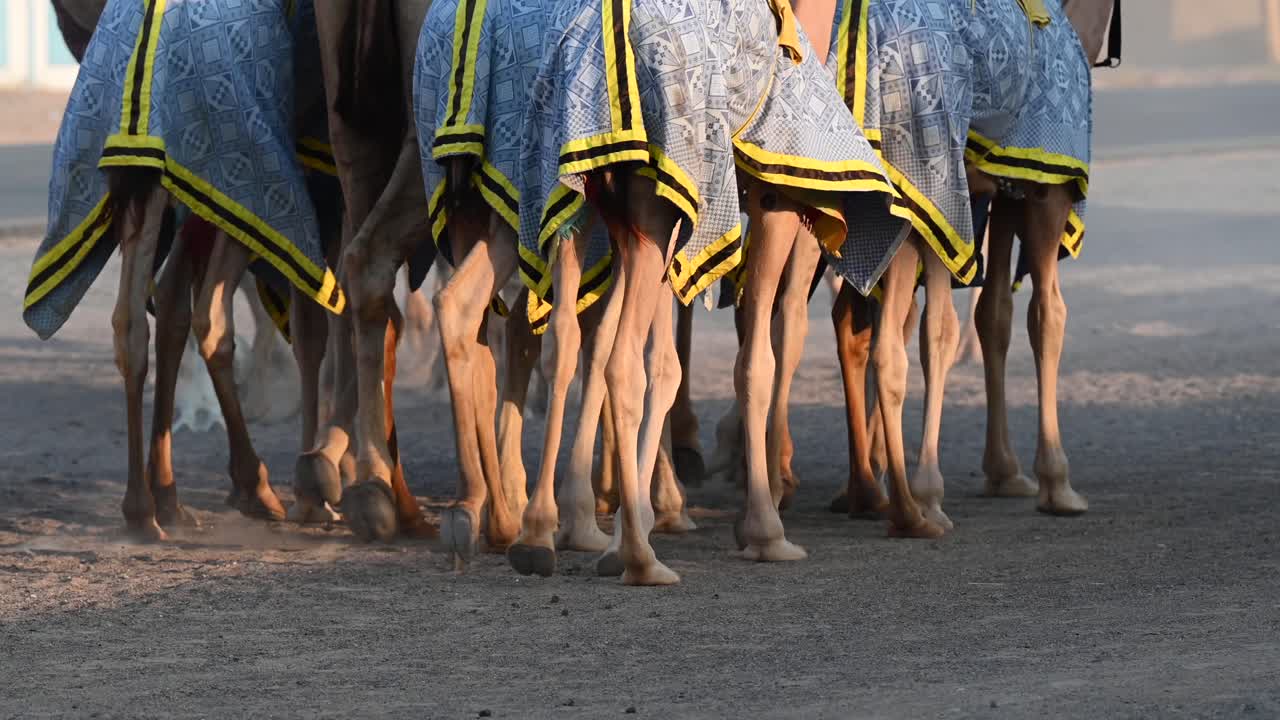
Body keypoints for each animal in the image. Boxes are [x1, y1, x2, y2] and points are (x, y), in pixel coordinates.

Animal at [26, 0, 345, 539]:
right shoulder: (302, 187)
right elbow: (318, 324)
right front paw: (318, 488)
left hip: (150, 178)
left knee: (134, 323)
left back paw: (146, 508)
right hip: (238, 168)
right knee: (210, 321)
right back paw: (252, 486)